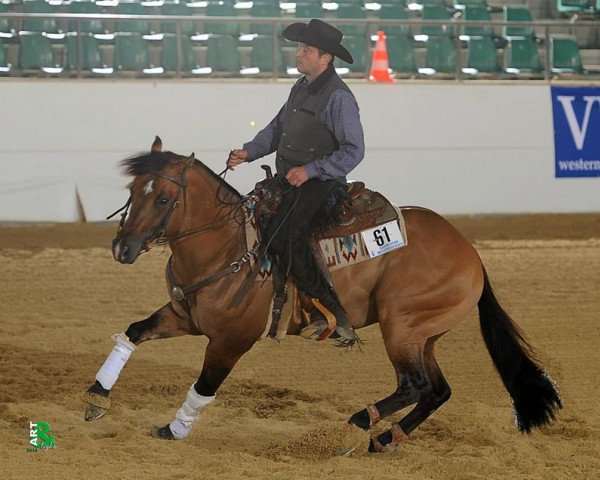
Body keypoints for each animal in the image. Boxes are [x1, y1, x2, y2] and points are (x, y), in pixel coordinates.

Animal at [83, 137, 564, 452]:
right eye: (132, 191)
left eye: (164, 199)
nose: (122, 248)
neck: (228, 246)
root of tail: (472, 255)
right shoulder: (184, 315)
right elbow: (133, 332)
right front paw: (95, 398)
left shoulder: (230, 340)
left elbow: (204, 386)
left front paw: (175, 430)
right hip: (423, 335)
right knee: (436, 390)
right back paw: (385, 438)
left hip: (401, 326)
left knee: (414, 385)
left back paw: (356, 425)